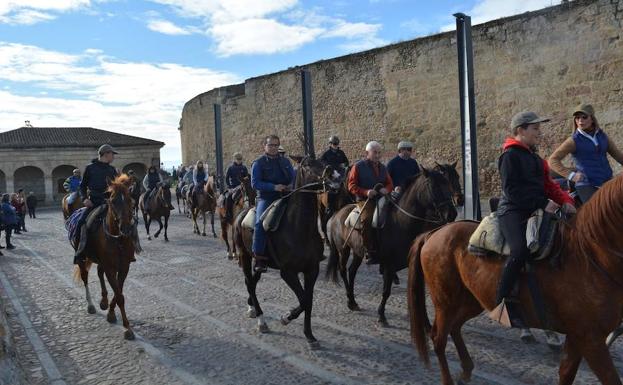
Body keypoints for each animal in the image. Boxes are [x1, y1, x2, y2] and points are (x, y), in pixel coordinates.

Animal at [72, 174, 139, 340]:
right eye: (113, 200)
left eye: (130, 200)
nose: (125, 228)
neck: (118, 239)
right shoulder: (110, 267)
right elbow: (119, 295)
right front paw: (127, 328)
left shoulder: (124, 267)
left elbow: (118, 291)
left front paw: (111, 313)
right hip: (82, 258)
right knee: (85, 277)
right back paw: (91, 305)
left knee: (99, 272)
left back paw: (103, 301)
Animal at [326, 169, 458, 324]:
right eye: (434, 186)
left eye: (447, 184)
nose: (452, 213)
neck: (401, 222)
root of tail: (336, 214)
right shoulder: (389, 265)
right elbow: (386, 291)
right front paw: (381, 315)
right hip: (343, 250)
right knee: (343, 271)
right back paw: (350, 301)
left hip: (358, 252)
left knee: (352, 271)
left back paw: (353, 301)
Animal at [408, 174, 623, 384]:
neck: (587, 256)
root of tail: (433, 233)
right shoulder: (590, 339)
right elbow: (608, 377)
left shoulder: (578, 336)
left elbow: (566, 373)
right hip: (446, 302)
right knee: (438, 339)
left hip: (472, 300)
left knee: (455, 326)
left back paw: (467, 369)